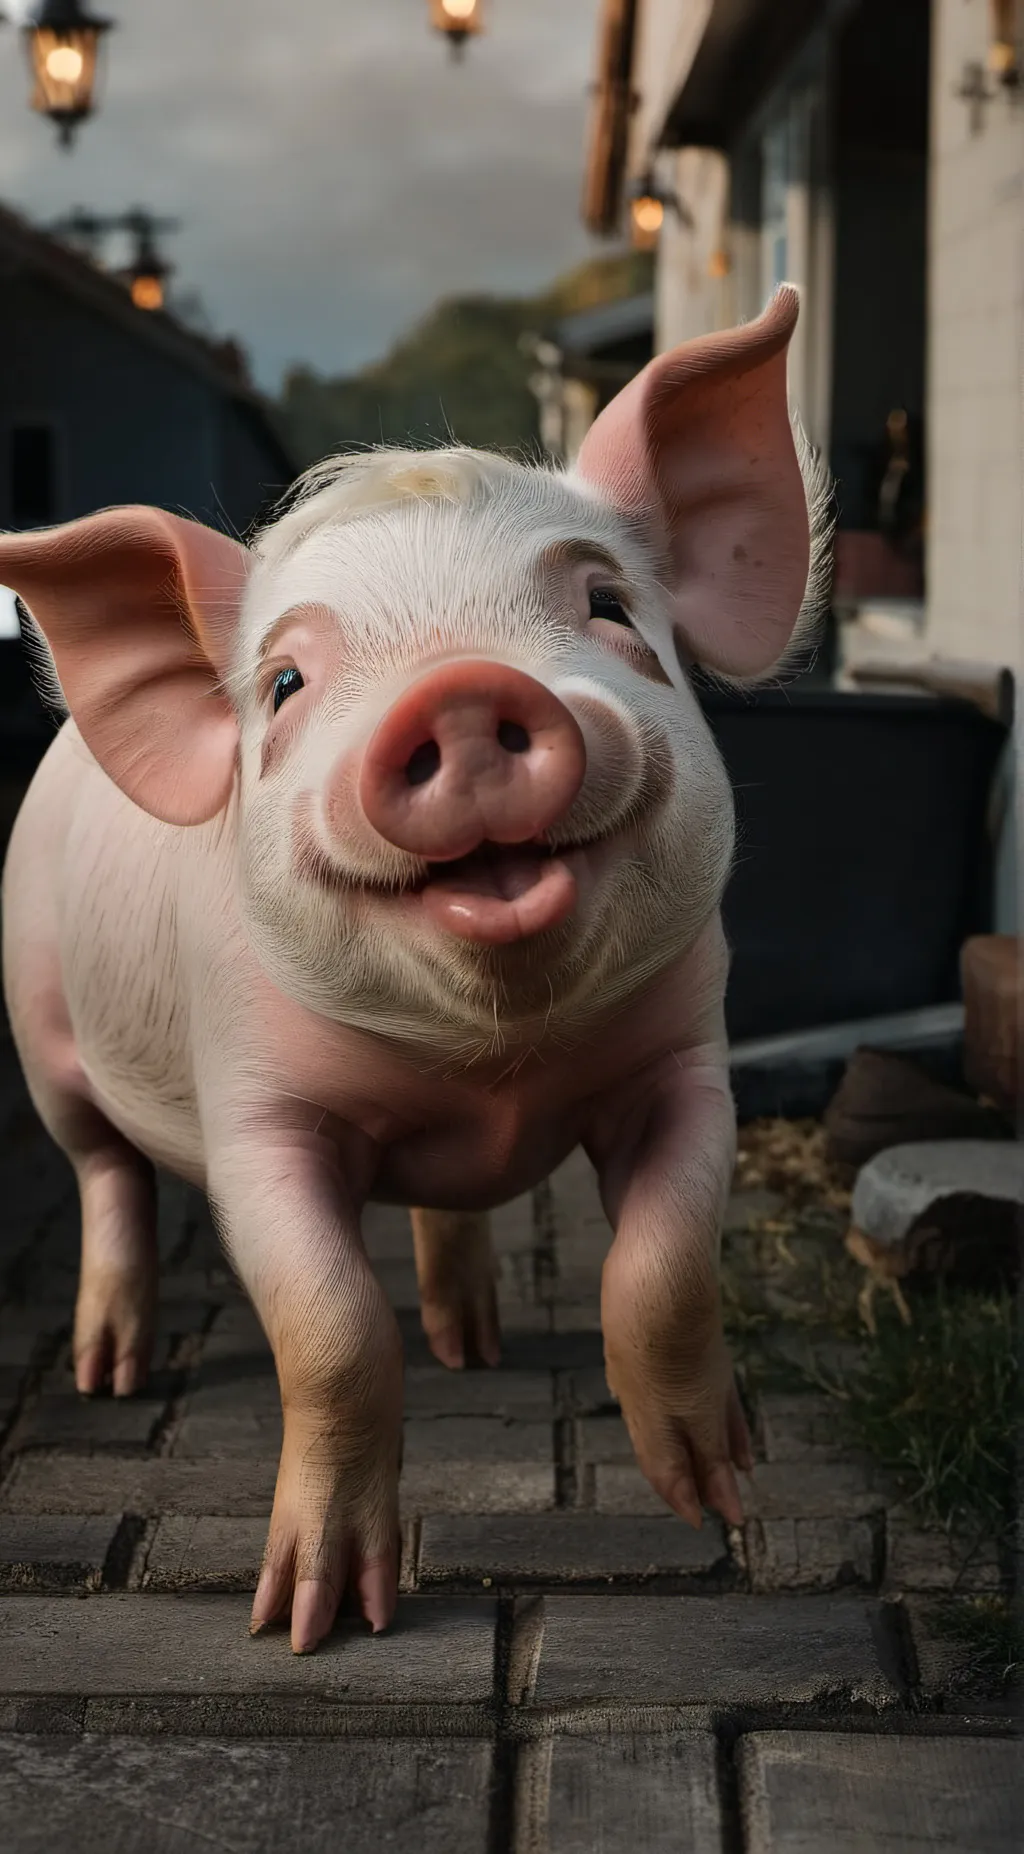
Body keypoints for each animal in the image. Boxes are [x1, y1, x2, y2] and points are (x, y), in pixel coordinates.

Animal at [0, 287, 829, 1653]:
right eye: (286, 683)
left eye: (608, 609)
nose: (458, 692)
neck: (486, 1065)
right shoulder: (252, 1112)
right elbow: (332, 1328)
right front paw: (310, 1624)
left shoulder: (685, 1059)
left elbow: (661, 1263)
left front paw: (715, 1491)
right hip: (44, 1034)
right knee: (104, 1174)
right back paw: (110, 1374)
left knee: (450, 1212)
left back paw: (474, 1351)